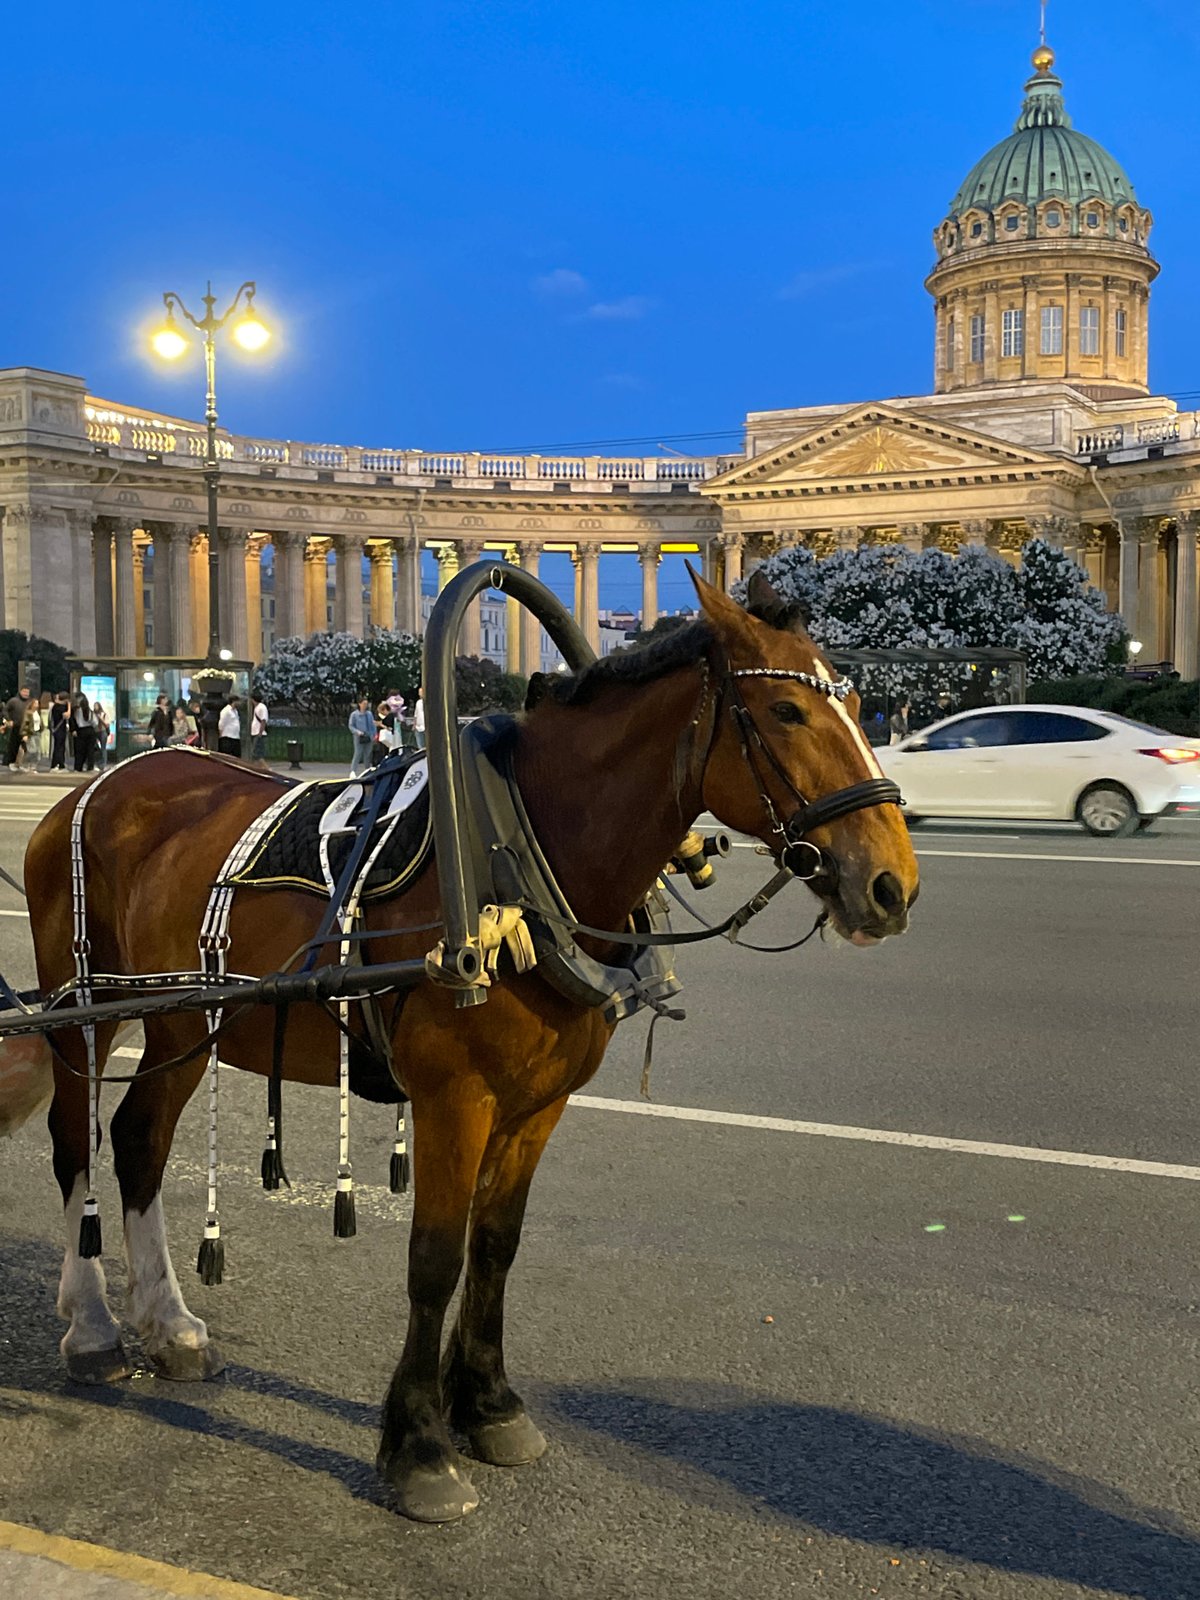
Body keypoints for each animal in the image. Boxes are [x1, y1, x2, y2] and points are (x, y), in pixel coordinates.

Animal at [8, 569, 919, 1523]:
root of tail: (98, 786)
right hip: (86, 1006)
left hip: (186, 1020)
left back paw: (170, 1325)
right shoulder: (457, 1099)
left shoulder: (537, 1105)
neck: (522, 852)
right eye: (786, 710)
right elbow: (435, 1260)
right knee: (75, 1141)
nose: (892, 884)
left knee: (140, 1139)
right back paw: (93, 1325)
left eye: (860, 702)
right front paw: (417, 1446)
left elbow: (497, 1246)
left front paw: (487, 1405)